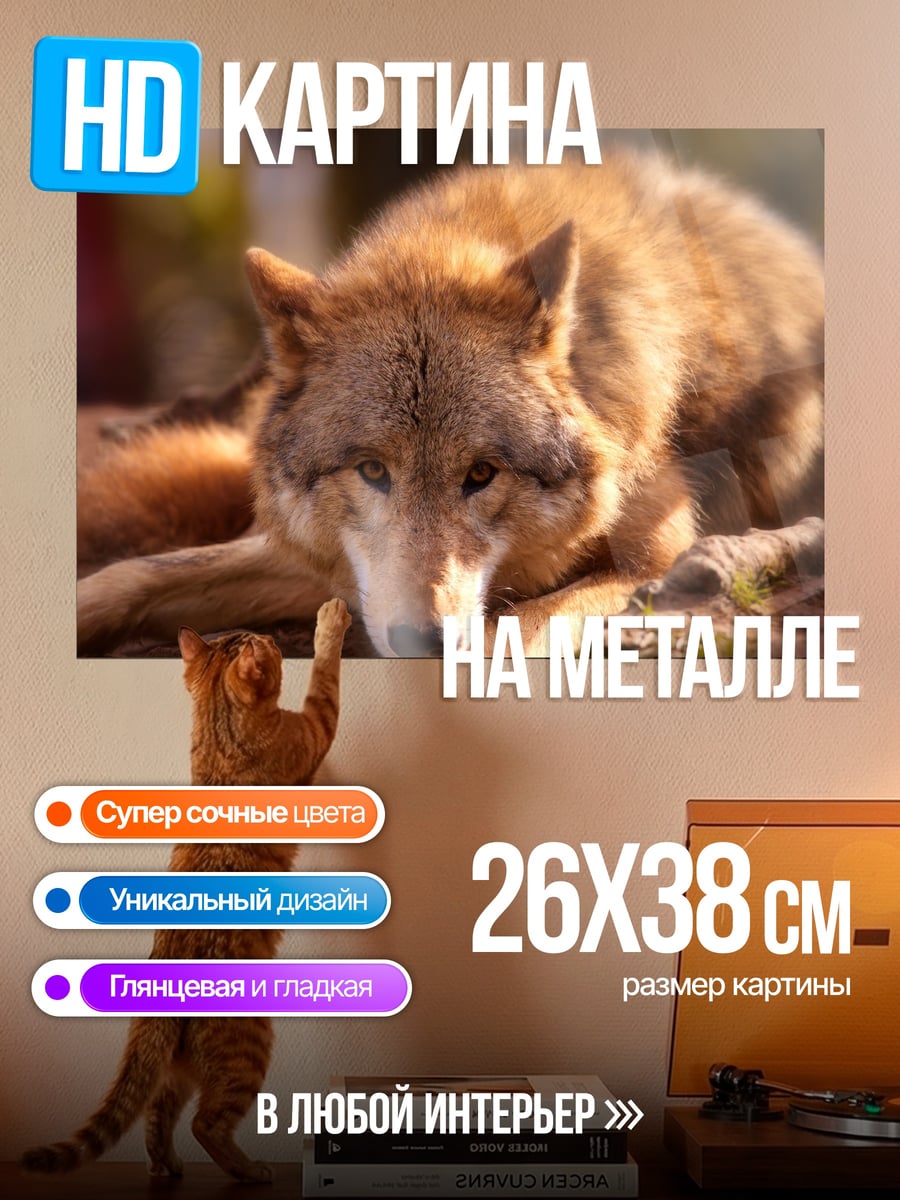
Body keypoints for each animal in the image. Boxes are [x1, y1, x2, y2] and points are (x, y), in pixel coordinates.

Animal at [77, 157, 823, 657]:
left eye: (482, 474)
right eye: (373, 471)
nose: (422, 639)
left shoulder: (657, 563)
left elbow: (515, 631)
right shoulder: (333, 569)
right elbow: (135, 574)